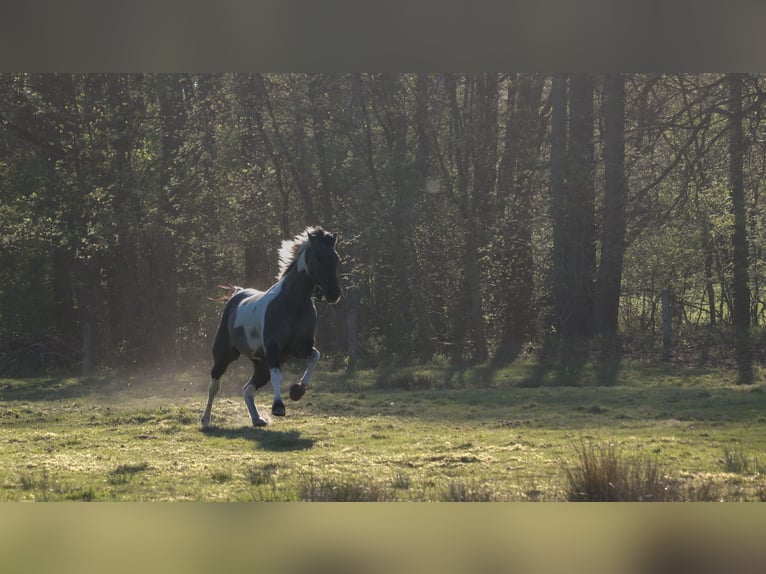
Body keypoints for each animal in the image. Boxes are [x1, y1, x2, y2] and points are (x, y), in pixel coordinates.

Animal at [200, 226, 341, 429]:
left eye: (336, 258)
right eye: (318, 257)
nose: (334, 293)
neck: (292, 304)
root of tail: (237, 294)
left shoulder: (301, 348)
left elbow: (315, 356)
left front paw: (297, 391)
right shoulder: (274, 348)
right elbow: (277, 376)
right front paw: (278, 407)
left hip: (260, 365)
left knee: (247, 389)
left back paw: (257, 419)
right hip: (224, 355)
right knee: (214, 385)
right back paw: (205, 420)